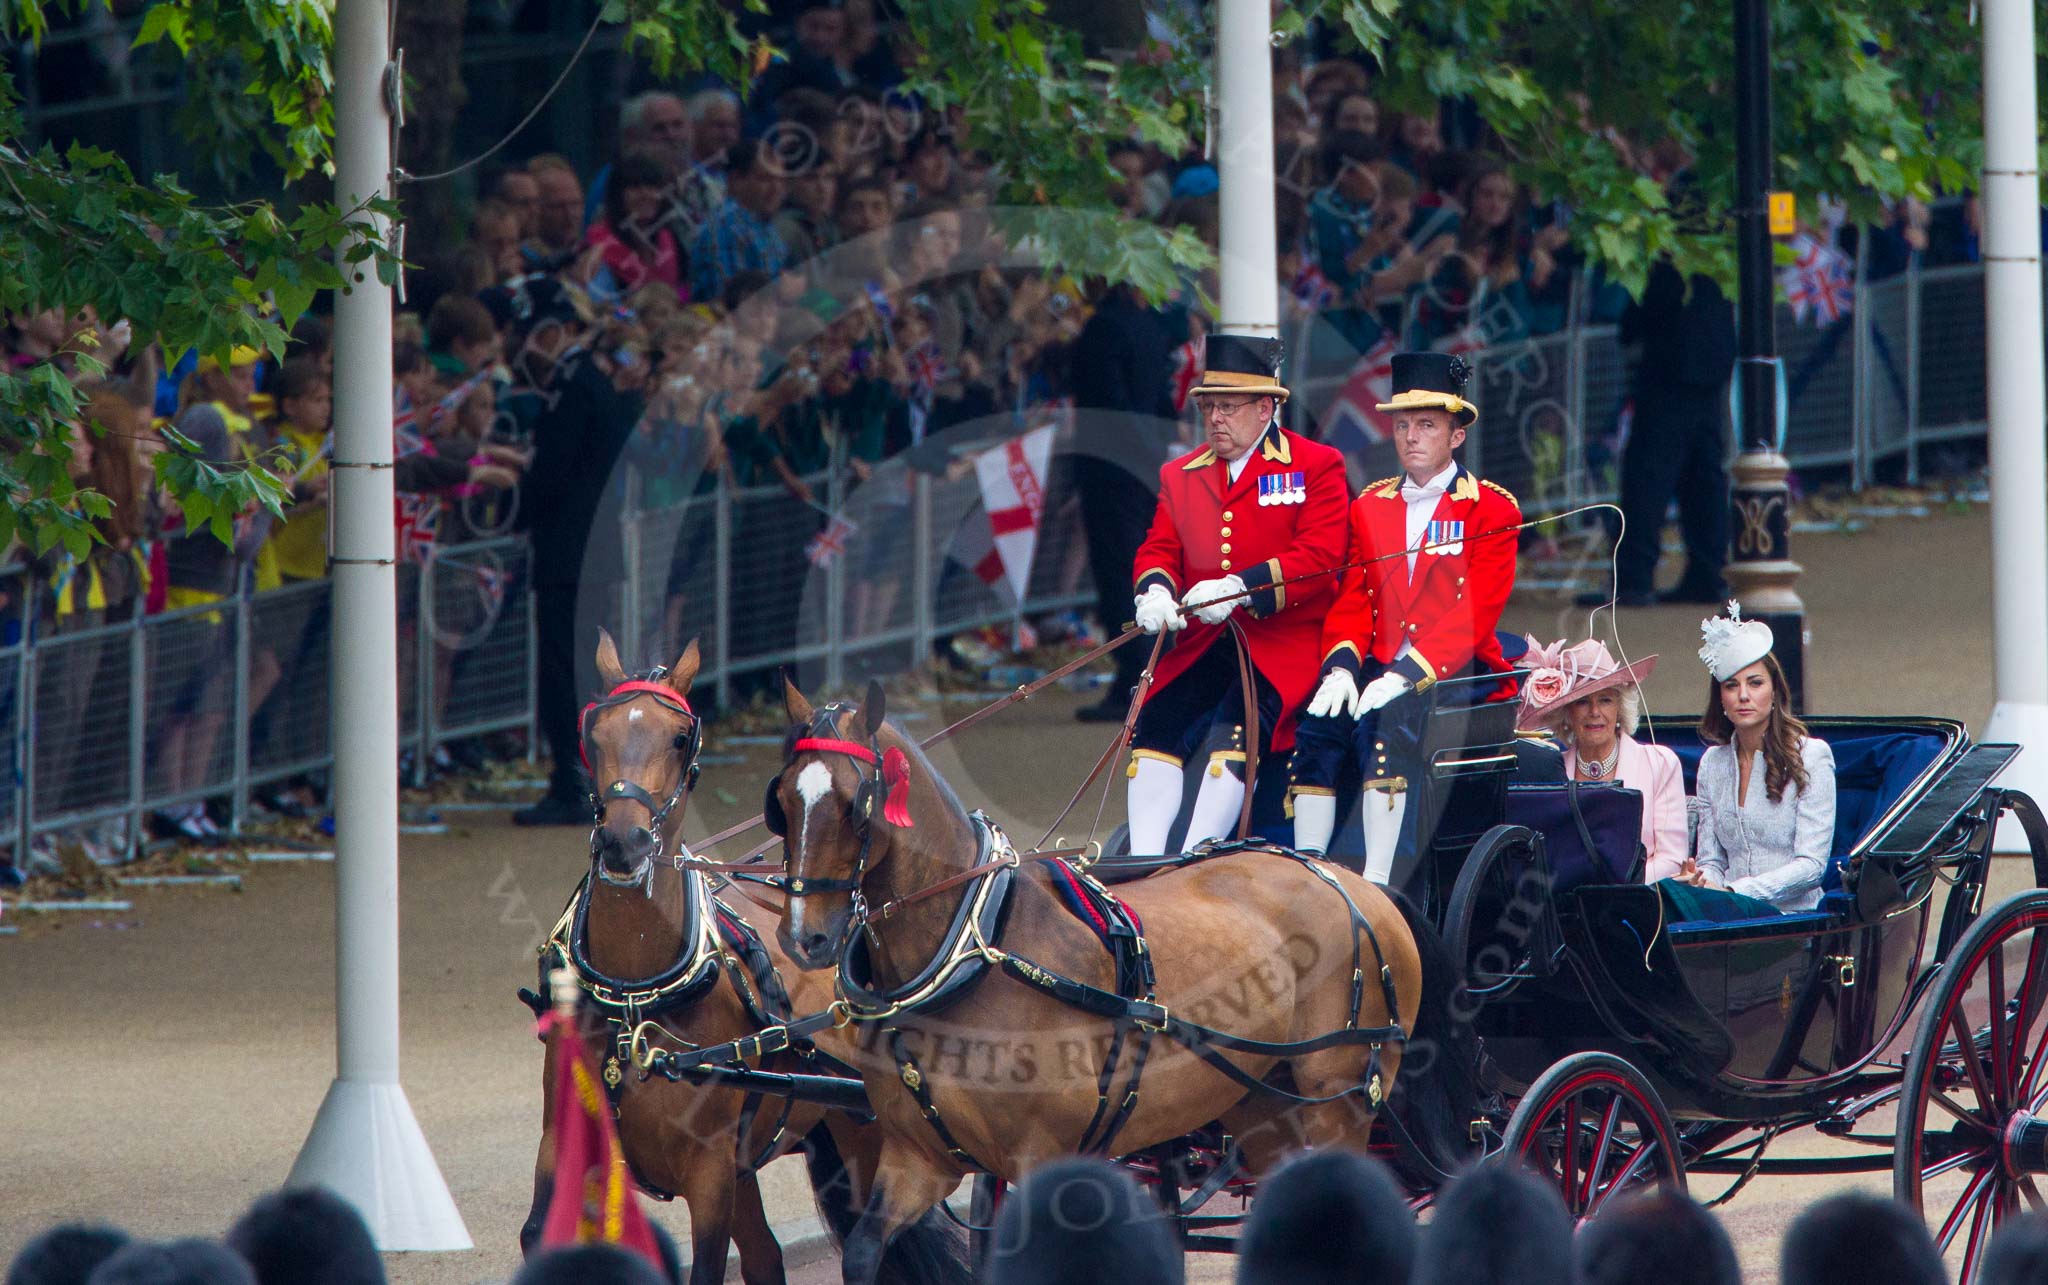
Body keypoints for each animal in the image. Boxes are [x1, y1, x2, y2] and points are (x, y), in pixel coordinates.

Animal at [520, 635, 966, 1285]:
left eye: (680, 737)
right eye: (593, 732)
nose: (624, 844)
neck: (634, 997)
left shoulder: (708, 1177)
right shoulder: (563, 1149)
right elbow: (539, 1236)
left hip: (867, 1135)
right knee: (764, 1255)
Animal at [770, 680, 1441, 1278]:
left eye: (854, 804)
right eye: (784, 803)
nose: (805, 936)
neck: (968, 952)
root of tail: (1352, 882)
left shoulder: (1041, 1157)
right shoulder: (917, 1159)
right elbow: (863, 1252)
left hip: (1340, 1099)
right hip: (1263, 1099)